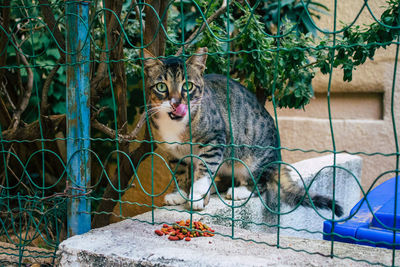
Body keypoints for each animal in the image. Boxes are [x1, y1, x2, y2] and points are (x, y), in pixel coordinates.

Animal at [142, 46, 342, 218]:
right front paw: (179, 193)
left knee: (261, 184)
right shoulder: (174, 152)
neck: (176, 125)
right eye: (161, 87)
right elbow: (180, 172)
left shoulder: (214, 140)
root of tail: (277, 159)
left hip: (253, 159)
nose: (176, 102)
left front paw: (197, 195)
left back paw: (238, 191)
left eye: (187, 86)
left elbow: (204, 169)